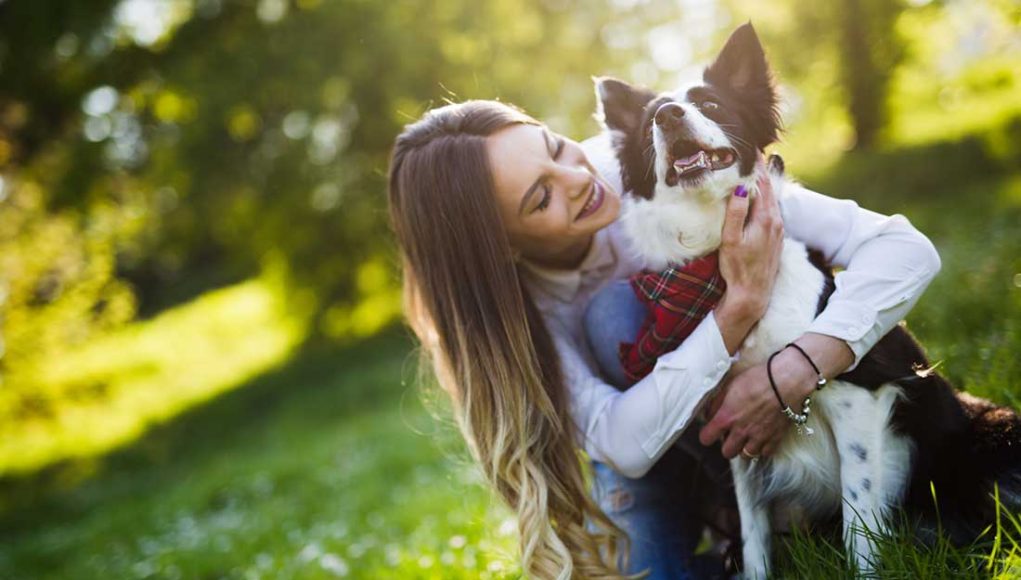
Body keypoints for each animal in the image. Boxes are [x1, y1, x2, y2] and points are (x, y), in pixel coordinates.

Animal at [596, 21, 1021, 575]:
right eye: (651, 120)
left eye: (710, 105)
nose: (668, 116)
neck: (718, 258)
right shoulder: (733, 430)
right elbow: (754, 534)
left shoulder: (858, 399)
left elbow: (859, 522)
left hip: (997, 436)